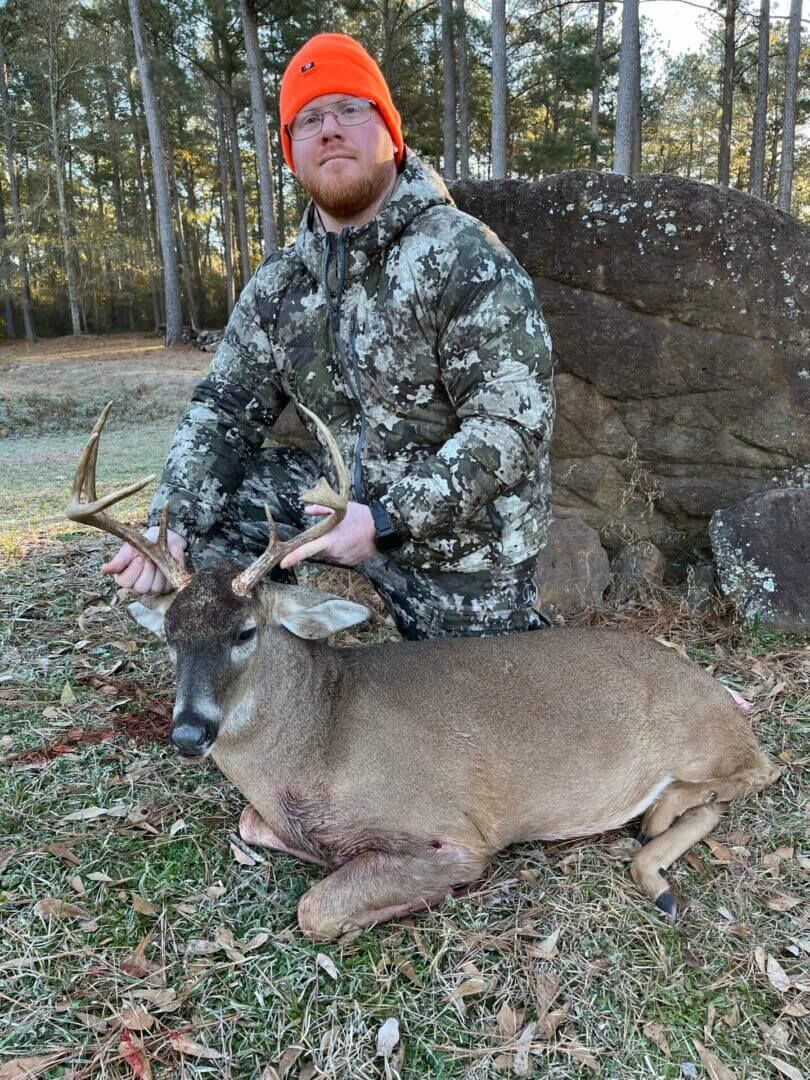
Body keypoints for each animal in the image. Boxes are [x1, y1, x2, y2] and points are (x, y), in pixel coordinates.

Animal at [66, 403, 781, 941]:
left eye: (245, 632)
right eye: (171, 639)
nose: (189, 732)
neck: (319, 740)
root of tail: (715, 688)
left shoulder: (454, 833)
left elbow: (316, 908)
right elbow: (251, 824)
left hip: (698, 733)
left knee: (758, 771)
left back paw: (665, 814)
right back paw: (661, 872)